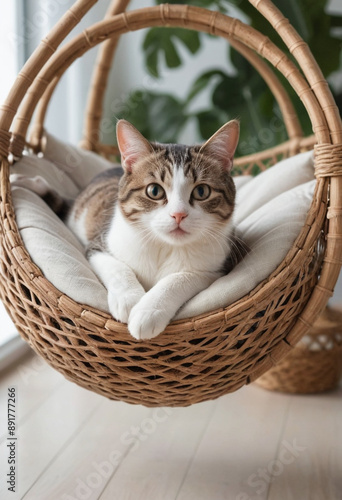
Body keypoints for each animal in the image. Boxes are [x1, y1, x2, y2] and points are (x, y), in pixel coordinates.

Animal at [12, 119, 244, 342]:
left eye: (202, 191)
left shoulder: (217, 267)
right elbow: (118, 268)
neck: (164, 246)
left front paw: (148, 310)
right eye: (154, 191)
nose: (178, 215)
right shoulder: (99, 244)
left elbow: (181, 278)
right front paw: (129, 300)